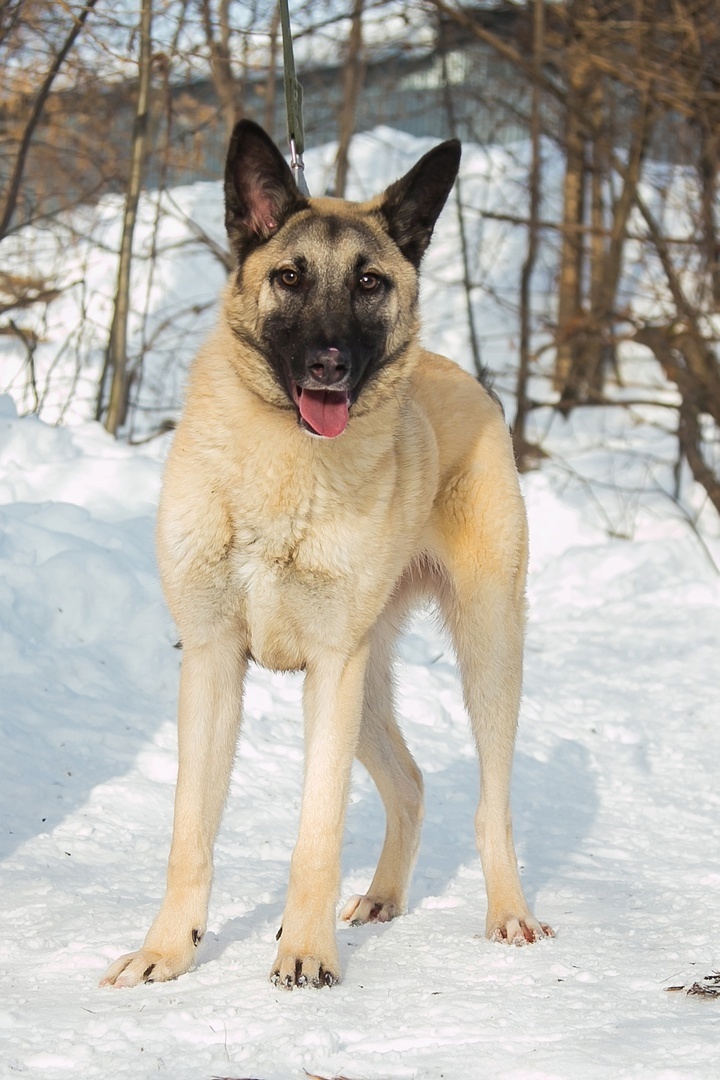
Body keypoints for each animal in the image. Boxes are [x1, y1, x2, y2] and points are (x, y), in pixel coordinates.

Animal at [101, 122, 552, 989]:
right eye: (289, 277)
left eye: (370, 282)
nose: (330, 365)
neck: (282, 469)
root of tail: (464, 376)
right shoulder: (213, 660)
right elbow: (189, 836)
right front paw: (167, 952)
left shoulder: (332, 669)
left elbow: (316, 833)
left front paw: (305, 955)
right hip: (369, 687)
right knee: (410, 782)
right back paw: (380, 897)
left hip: (483, 652)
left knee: (495, 801)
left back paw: (508, 912)